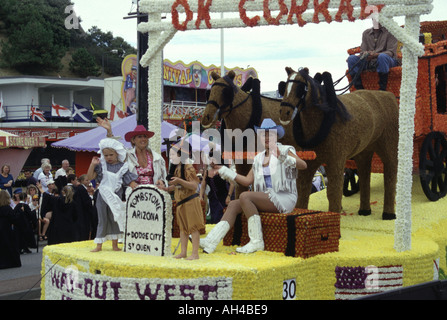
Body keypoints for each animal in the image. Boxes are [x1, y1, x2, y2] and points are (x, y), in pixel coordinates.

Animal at [280, 67, 400, 220]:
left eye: (301, 88)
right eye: (284, 87)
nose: (284, 112)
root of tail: (389, 95)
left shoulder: (336, 160)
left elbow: (333, 192)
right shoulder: (309, 163)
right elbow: (303, 189)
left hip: (389, 146)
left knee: (390, 174)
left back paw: (389, 214)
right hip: (364, 152)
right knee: (365, 175)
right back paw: (365, 210)